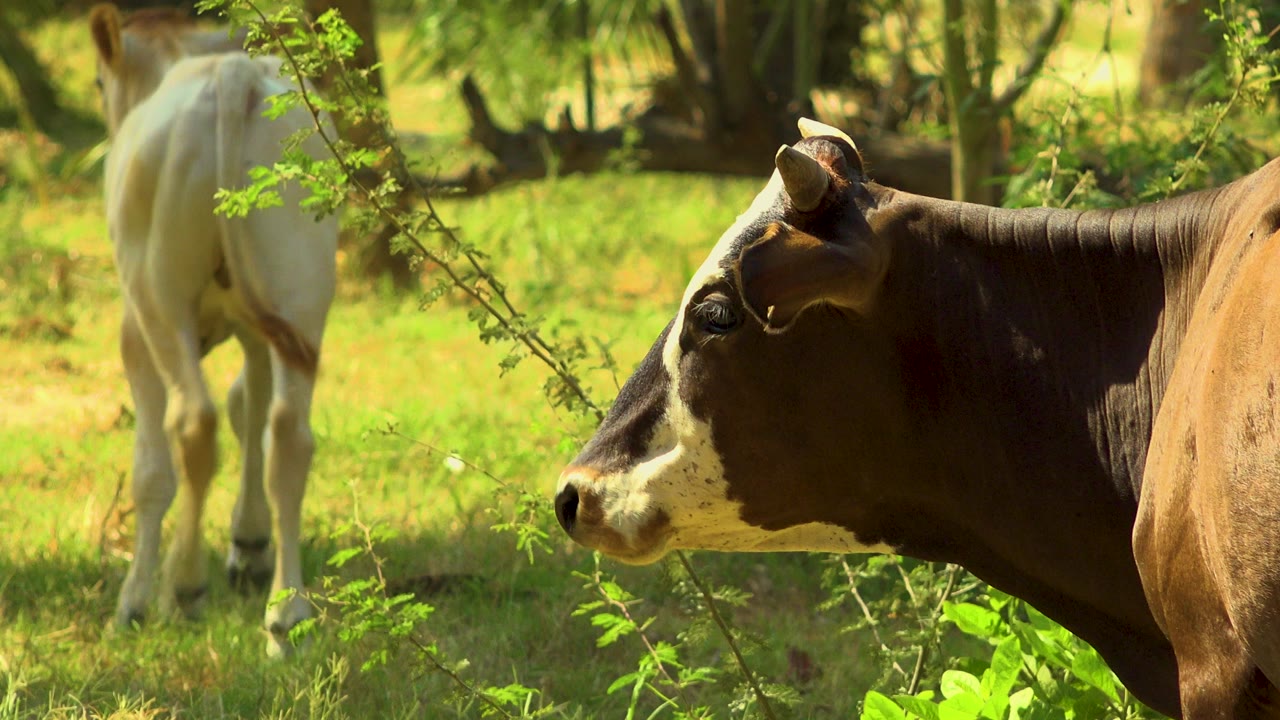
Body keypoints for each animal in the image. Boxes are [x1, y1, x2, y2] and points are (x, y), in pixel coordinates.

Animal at [90, 3, 337, 656]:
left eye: (99, 83)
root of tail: (233, 75)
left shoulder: (132, 334)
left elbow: (153, 469)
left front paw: (134, 599)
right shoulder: (258, 330)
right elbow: (249, 408)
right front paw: (248, 546)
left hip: (158, 297)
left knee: (192, 423)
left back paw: (182, 588)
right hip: (302, 289)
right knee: (289, 434)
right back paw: (287, 614)